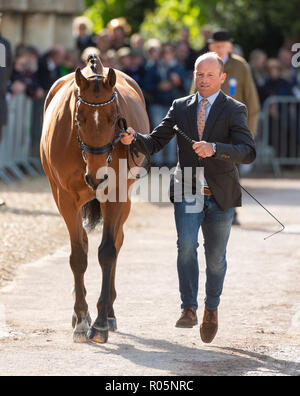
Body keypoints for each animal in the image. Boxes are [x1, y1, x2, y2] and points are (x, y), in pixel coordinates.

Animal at [41, 56, 149, 344]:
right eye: (78, 119)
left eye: (114, 120)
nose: (97, 176)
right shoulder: (65, 199)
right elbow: (78, 255)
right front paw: (81, 318)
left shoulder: (116, 195)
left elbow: (108, 251)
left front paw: (100, 322)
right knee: (84, 242)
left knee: (117, 242)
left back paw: (108, 312)